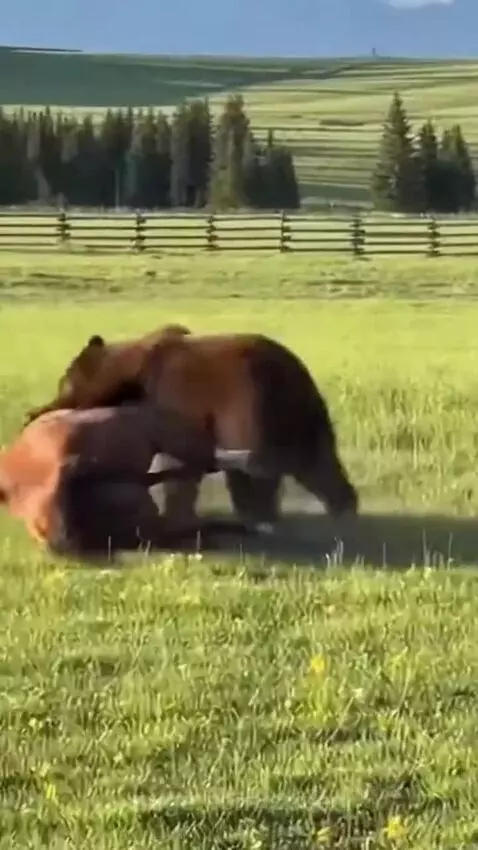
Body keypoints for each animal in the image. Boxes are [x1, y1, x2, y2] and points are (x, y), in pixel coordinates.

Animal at [25, 327, 359, 531]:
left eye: (64, 385)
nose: (32, 413)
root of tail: (298, 377)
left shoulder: (179, 401)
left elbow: (178, 463)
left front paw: (175, 514)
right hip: (303, 421)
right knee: (320, 467)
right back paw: (342, 514)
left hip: (254, 408)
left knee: (258, 471)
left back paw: (261, 517)